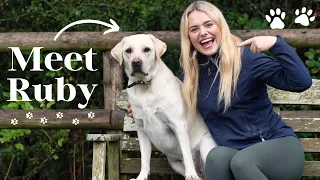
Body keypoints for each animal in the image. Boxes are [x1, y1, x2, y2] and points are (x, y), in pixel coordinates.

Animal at [111, 34, 216, 180]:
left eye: (147, 49)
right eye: (128, 50)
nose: (136, 62)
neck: (145, 86)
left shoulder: (177, 124)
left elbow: (187, 154)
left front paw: (190, 174)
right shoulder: (141, 129)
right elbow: (144, 159)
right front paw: (142, 176)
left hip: (206, 149)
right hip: (175, 164)